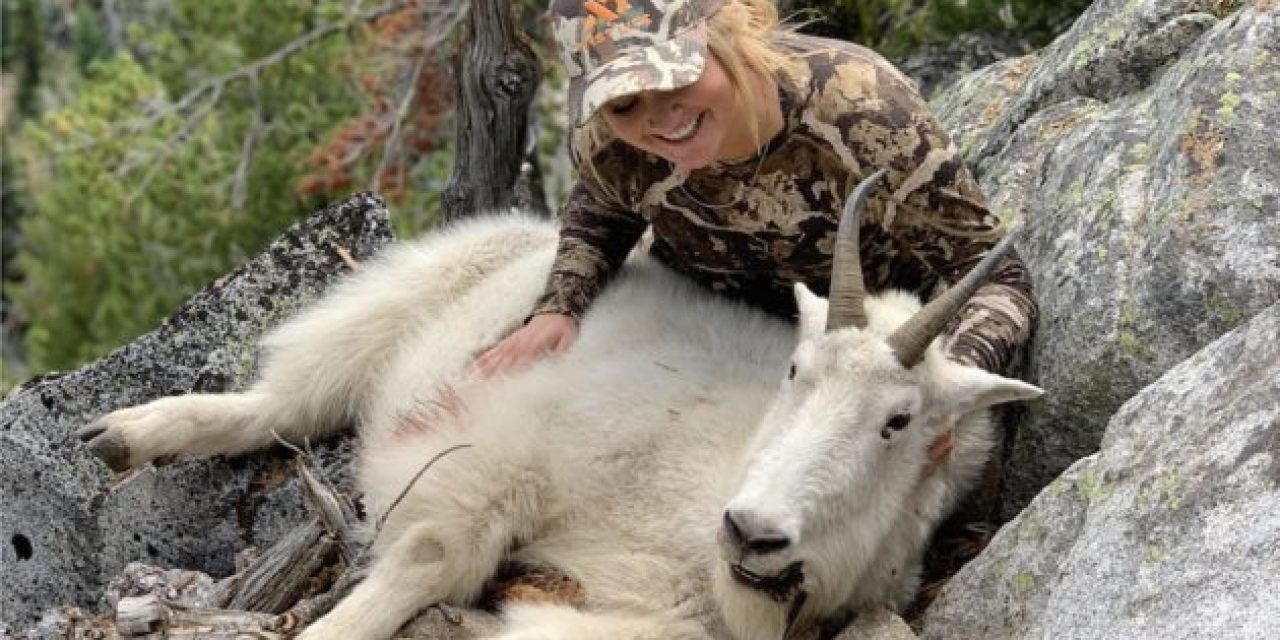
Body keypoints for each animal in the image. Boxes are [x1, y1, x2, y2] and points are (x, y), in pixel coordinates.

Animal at [77, 171, 1039, 640]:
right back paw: (127, 434)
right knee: (277, 403)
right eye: (795, 370)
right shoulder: (499, 457)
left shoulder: (648, 618)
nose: (751, 531)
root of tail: (537, 228)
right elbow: (431, 557)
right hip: (401, 302)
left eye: (898, 423)